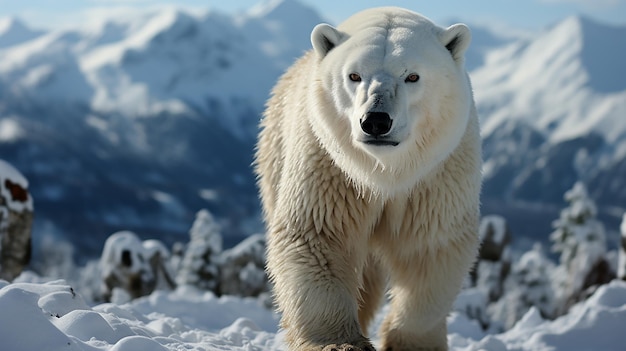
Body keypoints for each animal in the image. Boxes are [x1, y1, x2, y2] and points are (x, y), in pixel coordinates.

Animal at [252, 6, 478, 351]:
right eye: (354, 75)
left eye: (412, 76)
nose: (376, 121)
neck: (384, 172)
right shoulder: (330, 166)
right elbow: (319, 237)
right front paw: (340, 343)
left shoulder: (434, 178)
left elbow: (429, 249)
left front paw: (413, 343)